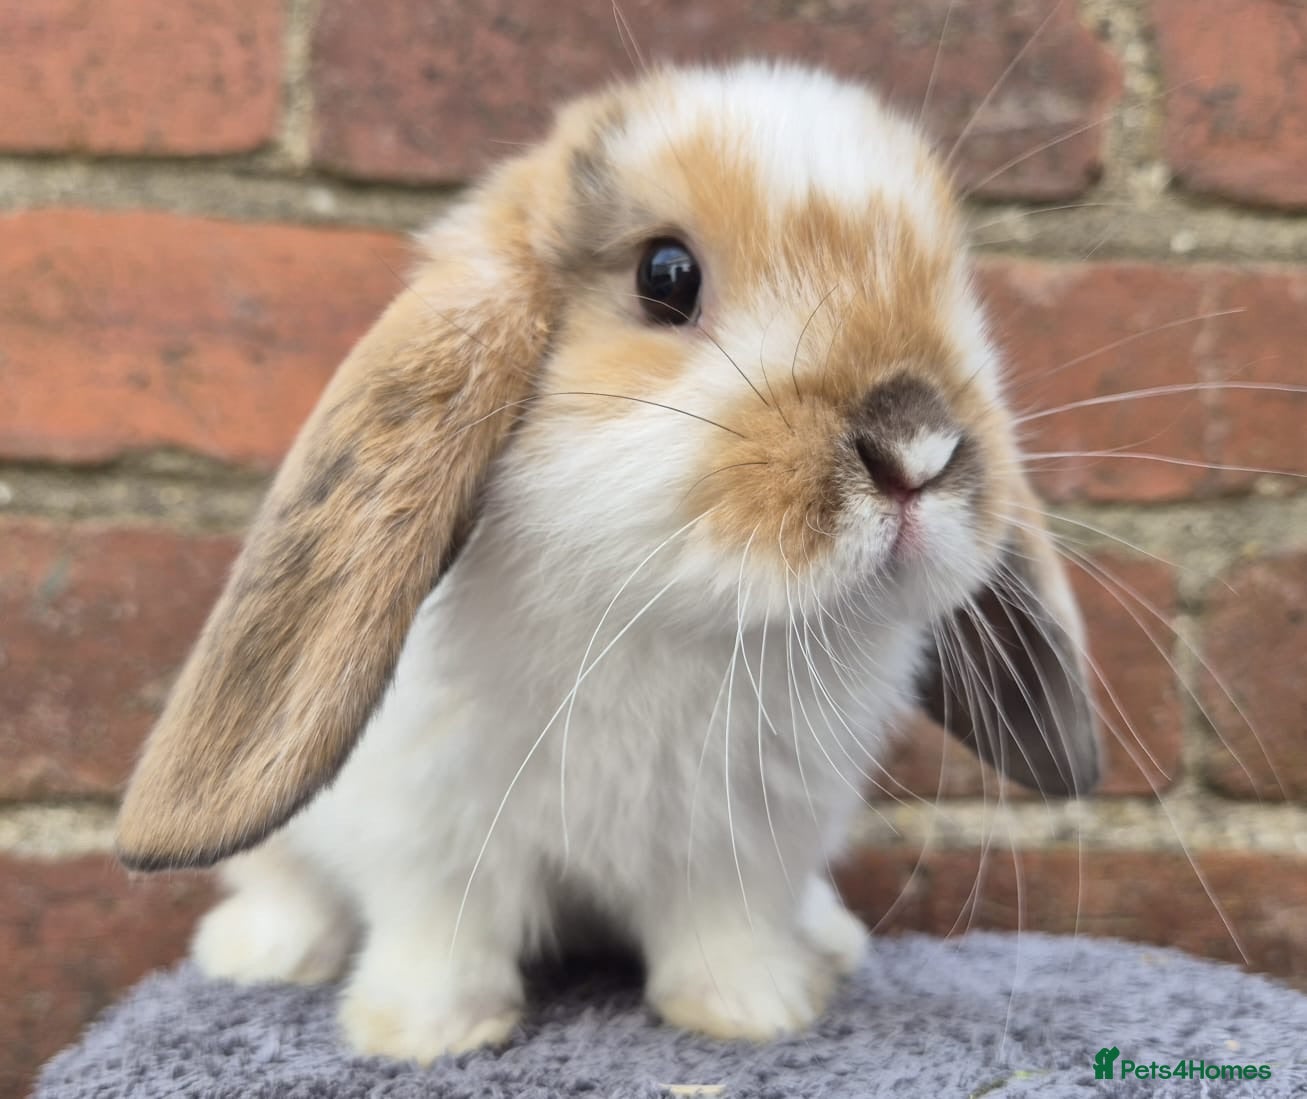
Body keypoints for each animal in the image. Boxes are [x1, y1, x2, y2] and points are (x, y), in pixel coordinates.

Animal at [116, 61, 1100, 1063]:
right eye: (665, 275)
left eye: (954, 287)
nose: (917, 447)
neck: (670, 615)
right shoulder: (432, 828)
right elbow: (442, 927)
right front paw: (424, 1033)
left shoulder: (744, 841)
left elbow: (723, 929)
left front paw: (753, 1011)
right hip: (286, 836)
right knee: (285, 885)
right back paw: (261, 952)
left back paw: (828, 940)